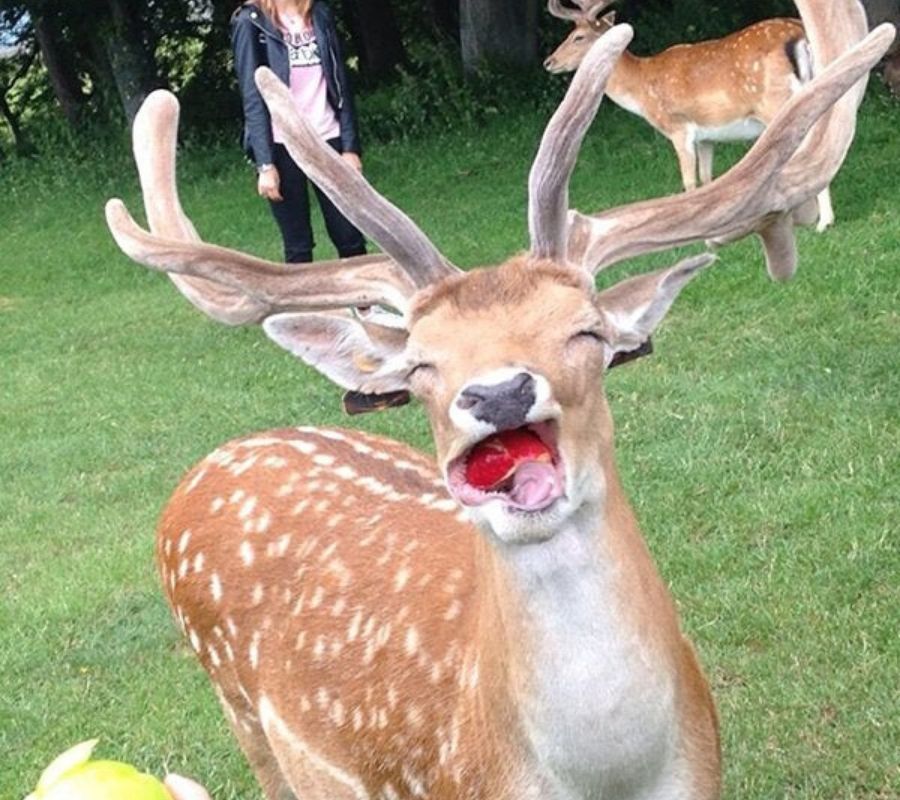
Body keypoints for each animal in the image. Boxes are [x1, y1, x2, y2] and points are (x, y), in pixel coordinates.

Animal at [545, 0, 838, 233]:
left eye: (579, 36)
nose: (549, 62)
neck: (641, 90)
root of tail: (800, 35)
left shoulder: (678, 127)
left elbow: (689, 181)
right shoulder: (706, 135)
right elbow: (708, 179)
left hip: (776, 103)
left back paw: (823, 222)